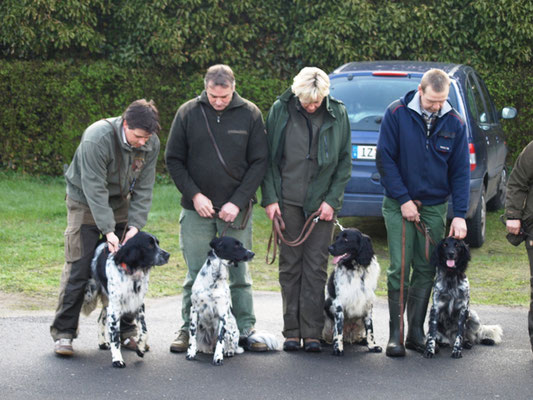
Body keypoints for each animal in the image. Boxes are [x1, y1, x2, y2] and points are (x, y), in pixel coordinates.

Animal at [81, 231, 168, 368]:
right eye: (149, 245)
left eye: (158, 243)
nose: (168, 255)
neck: (132, 274)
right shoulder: (115, 309)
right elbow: (115, 338)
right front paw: (117, 359)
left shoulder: (139, 304)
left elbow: (144, 331)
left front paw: (140, 348)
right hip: (91, 293)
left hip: (107, 302)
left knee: (100, 320)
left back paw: (102, 343)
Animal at [186, 236, 278, 368]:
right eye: (236, 245)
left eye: (241, 244)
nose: (252, 253)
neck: (215, 279)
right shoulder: (194, 310)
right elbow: (192, 336)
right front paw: (191, 353)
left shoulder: (223, 315)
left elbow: (220, 340)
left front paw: (218, 358)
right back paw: (202, 349)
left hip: (230, 329)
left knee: (236, 348)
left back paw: (229, 351)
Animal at [320, 228, 382, 356]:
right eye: (337, 237)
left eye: (346, 239)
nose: (329, 248)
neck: (355, 268)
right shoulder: (339, 304)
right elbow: (338, 330)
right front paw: (338, 348)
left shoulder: (368, 304)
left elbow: (370, 329)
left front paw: (372, 346)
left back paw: (363, 340)